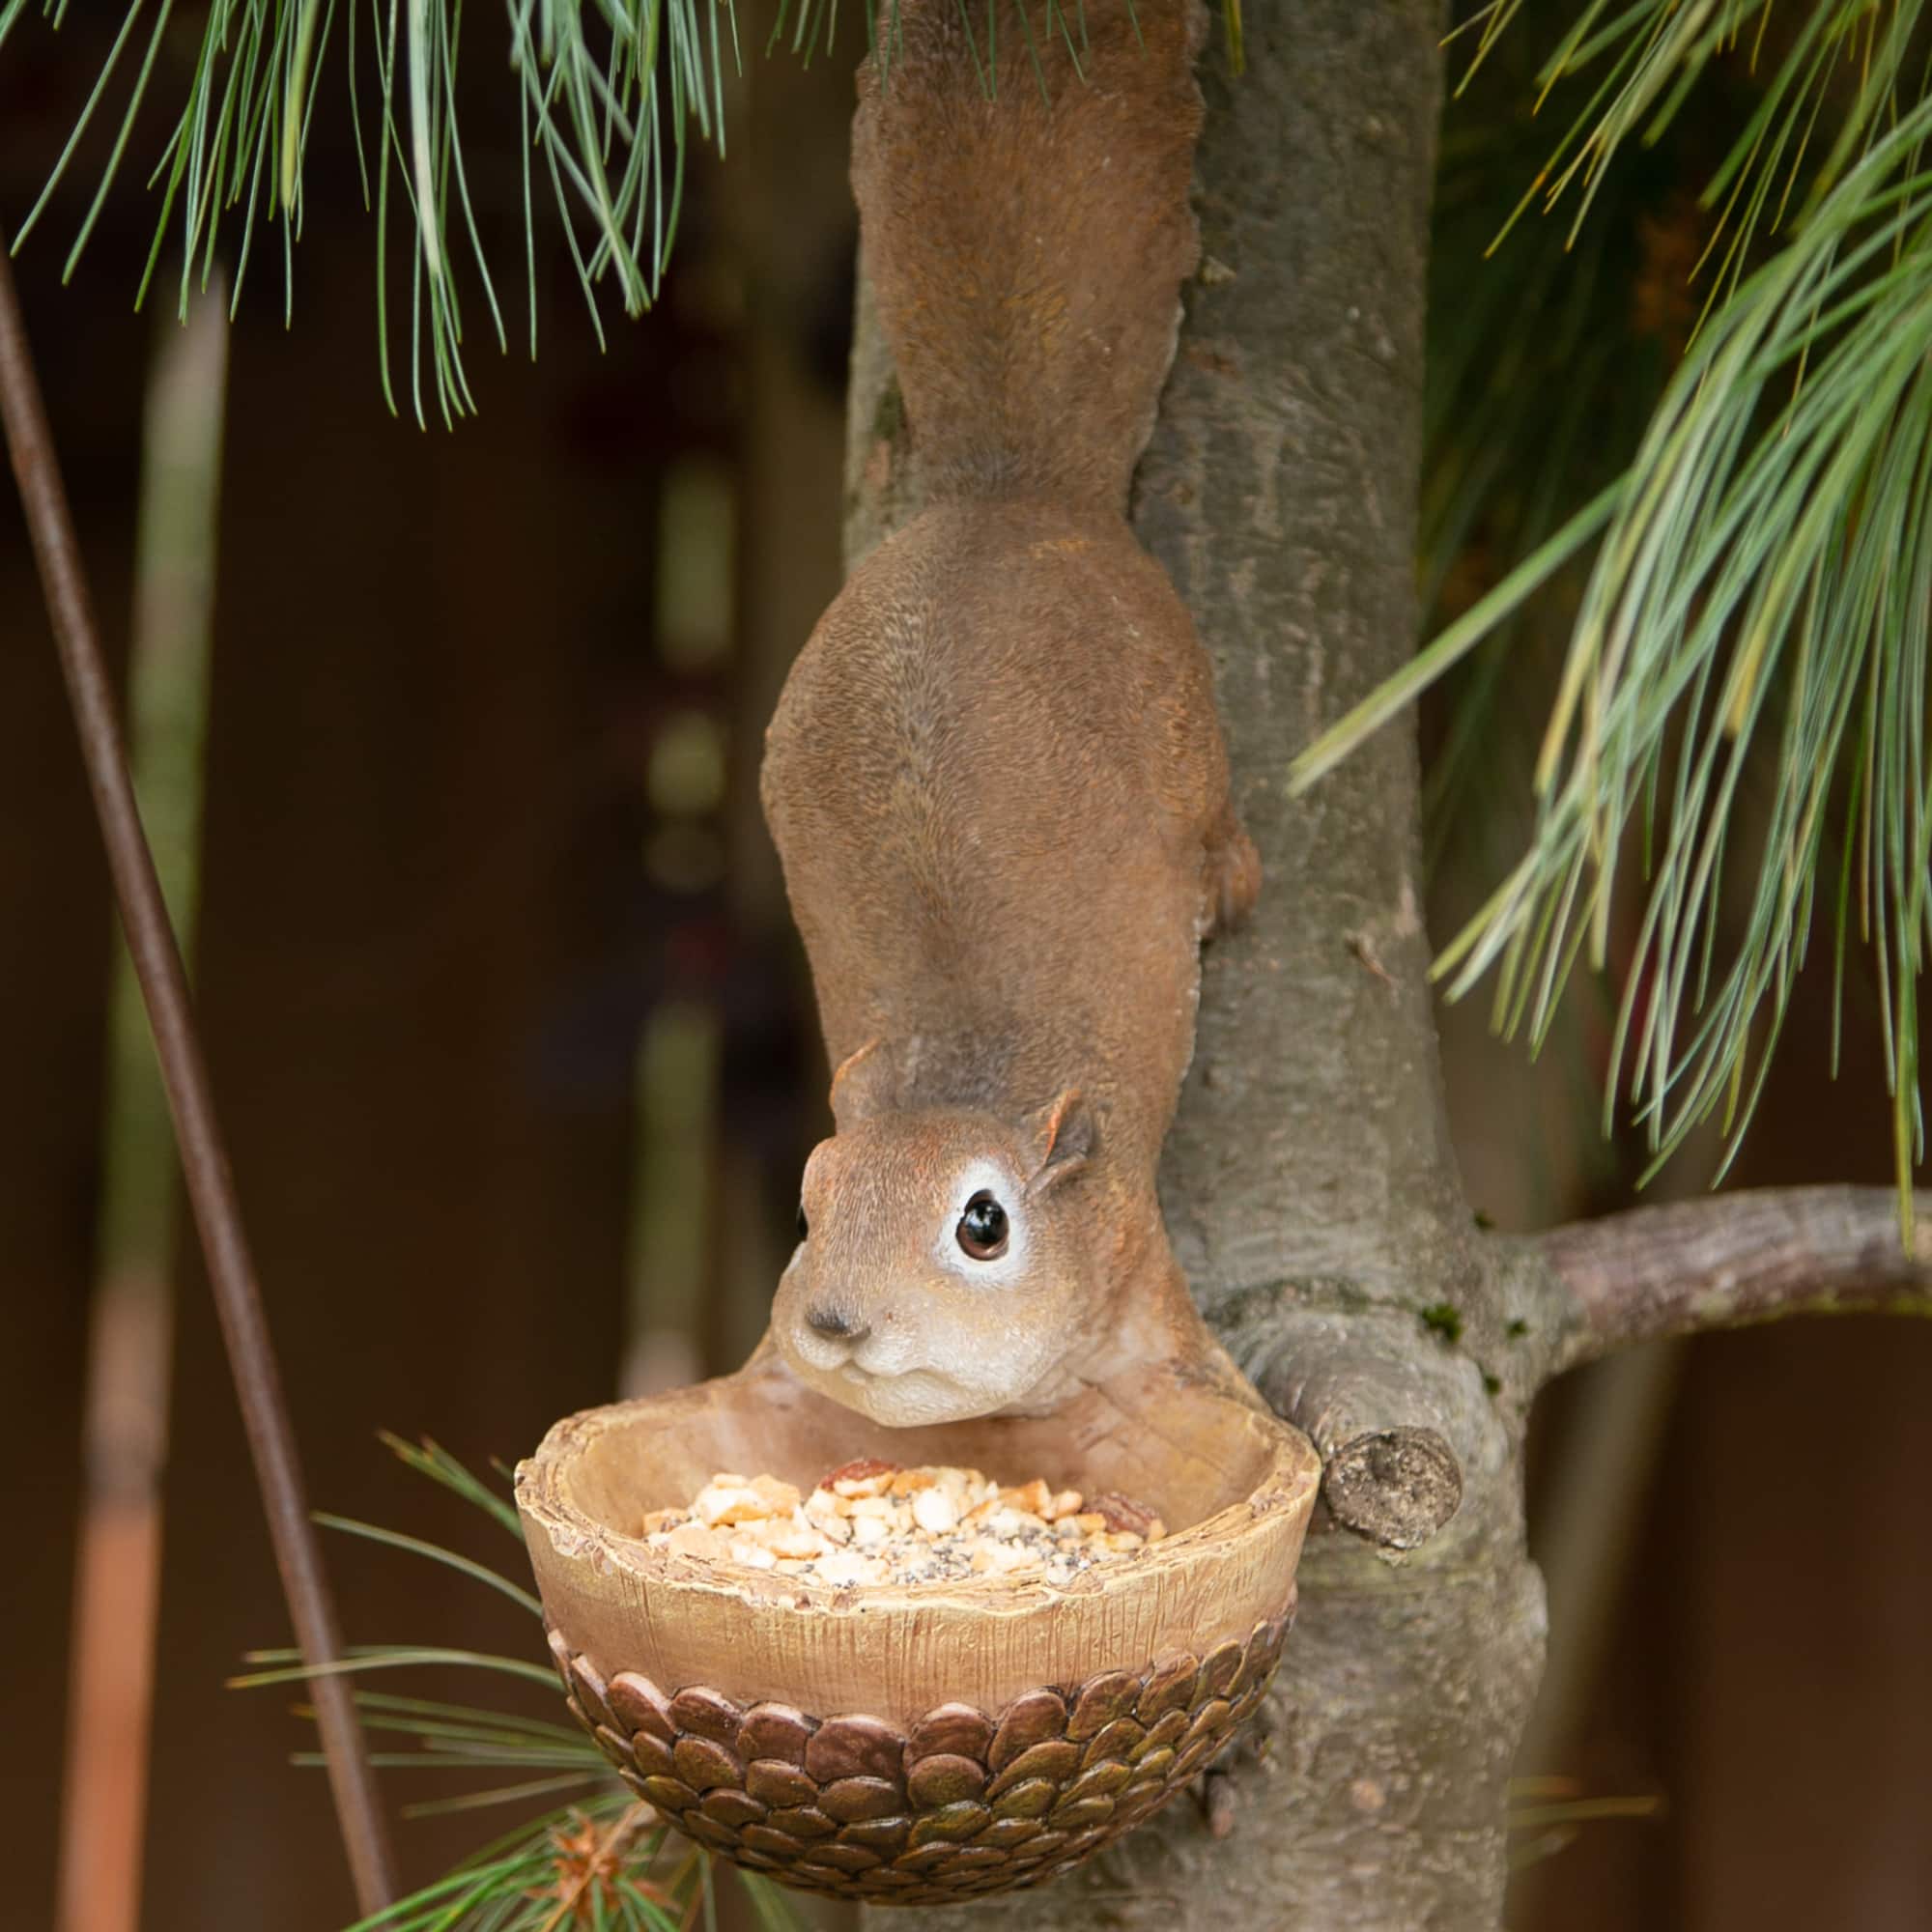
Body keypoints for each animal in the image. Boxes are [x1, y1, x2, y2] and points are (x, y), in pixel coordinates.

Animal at [759, 0, 1258, 1429]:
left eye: (982, 1225)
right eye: (808, 1200)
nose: (834, 1320)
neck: (964, 1076)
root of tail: (1012, 491)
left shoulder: (1138, 1242)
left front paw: (1232, 1400)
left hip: (1185, 724)